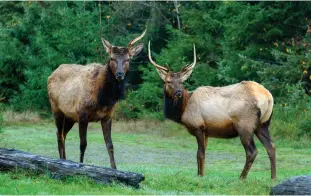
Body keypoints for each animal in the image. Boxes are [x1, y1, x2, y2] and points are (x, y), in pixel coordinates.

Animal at [47, 29, 147, 169]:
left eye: (128, 59)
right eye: (112, 58)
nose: (120, 74)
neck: (103, 99)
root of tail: (52, 74)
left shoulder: (107, 116)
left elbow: (110, 145)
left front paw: (114, 168)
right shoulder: (82, 113)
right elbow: (83, 144)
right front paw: (80, 164)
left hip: (70, 117)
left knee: (62, 134)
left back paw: (65, 159)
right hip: (56, 108)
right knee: (59, 134)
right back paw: (62, 160)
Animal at [148, 41, 276, 179]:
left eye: (182, 82)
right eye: (168, 81)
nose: (178, 93)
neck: (183, 109)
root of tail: (268, 97)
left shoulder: (198, 126)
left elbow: (200, 153)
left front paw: (200, 176)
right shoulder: (207, 131)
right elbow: (201, 154)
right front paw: (201, 174)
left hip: (245, 125)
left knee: (252, 151)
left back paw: (241, 178)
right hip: (263, 125)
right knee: (271, 147)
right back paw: (273, 177)